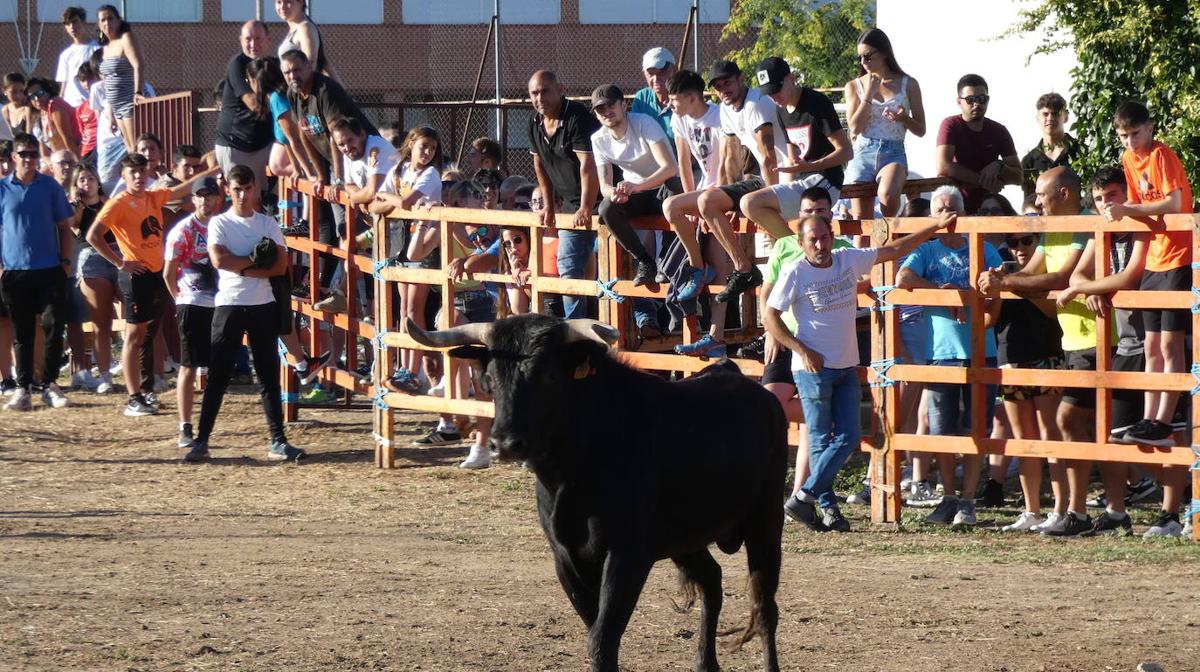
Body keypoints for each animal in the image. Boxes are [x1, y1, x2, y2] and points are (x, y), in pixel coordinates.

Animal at [408, 314, 792, 672]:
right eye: (489, 379)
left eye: (548, 376)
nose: (506, 443)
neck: (572, 474)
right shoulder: (566, 558)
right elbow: (594, 626)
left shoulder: (627, 556)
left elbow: (602, 641)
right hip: (685, 538)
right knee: (712, 582)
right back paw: (705, 662)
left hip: (765, 522)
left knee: (764, 608)